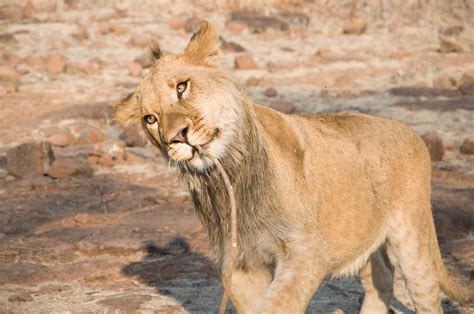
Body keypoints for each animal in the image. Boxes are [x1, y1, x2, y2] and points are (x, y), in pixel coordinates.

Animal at [114, 20, 470, 312]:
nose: (175, 137)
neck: (230, 172)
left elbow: (279, 303)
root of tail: (410, 130)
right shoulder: (239, 262)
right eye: (150, 119)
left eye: (182, 86)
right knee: (378, 281)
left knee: (425, 294)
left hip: (412, 238)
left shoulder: (307, 251)